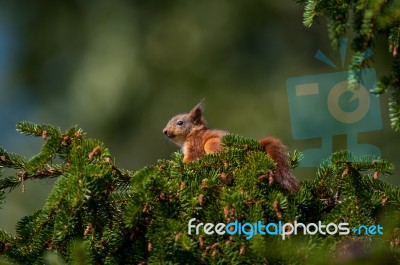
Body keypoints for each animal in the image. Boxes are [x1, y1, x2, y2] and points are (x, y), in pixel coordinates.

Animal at [162, 100, 300, 191]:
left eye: (180, 123)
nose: (165, 131)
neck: (192, 133)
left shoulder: (195, 145)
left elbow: (191, 159)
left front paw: (176, 164)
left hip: (212, 144)